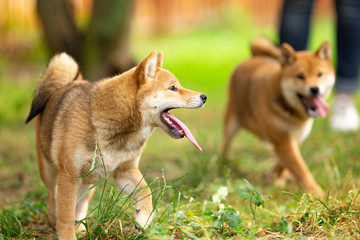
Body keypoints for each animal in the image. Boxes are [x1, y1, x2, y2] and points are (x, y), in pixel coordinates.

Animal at [26, 51, 207, 239]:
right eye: (172, 88)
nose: (204, 97)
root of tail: (69, 83)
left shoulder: (124, 170)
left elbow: (146, 192)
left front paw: (143, 220)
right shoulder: (70, 175)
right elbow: (66, 216)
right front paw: (67, 235)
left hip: (90, 180)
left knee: (80, 204)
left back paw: (81, 229)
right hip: (50, 172)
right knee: (53, 198)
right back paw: (54, 222)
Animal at [222, 37, 334, 197]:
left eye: (320, 74)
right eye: (300, 76)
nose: (314, 89)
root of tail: (253, 58)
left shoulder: (294, 138)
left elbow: (285, 163)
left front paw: (274, 177)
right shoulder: (282, 139)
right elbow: (299, 167)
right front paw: (315, 192)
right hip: (231, 122)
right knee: (226, 145)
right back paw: (223, 163)